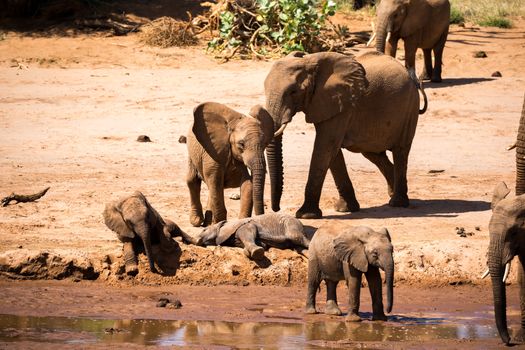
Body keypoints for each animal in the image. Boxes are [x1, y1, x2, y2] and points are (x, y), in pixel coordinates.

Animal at [182, 212, 310, 258]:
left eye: (204, 230)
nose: (183, 241)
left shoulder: (245, 225)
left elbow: (248, 232)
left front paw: (257, 252)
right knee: (299, 247)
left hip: (291, 225)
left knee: (298, 239)